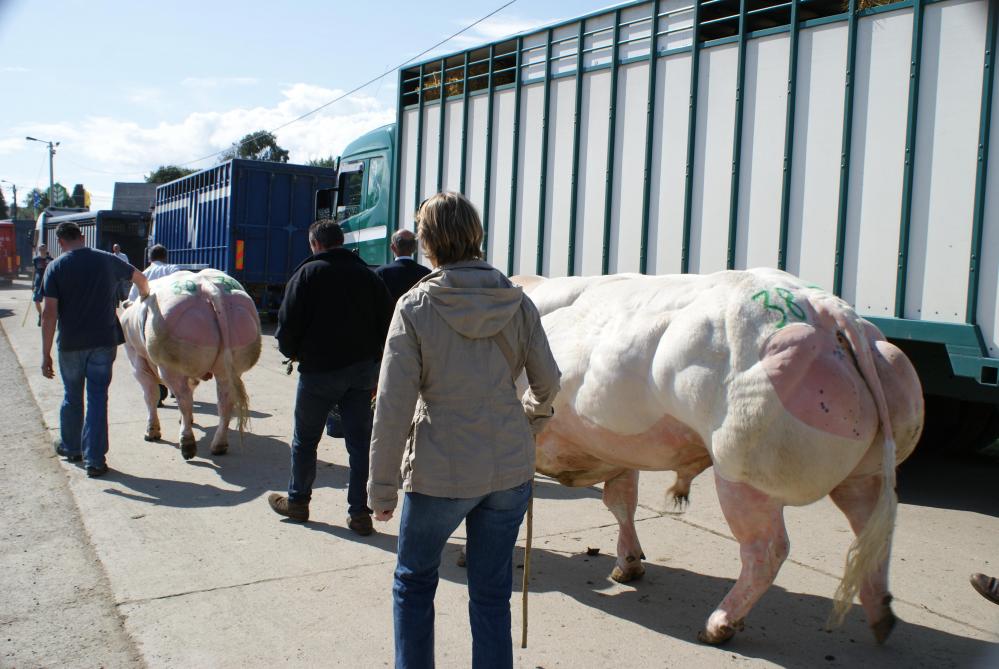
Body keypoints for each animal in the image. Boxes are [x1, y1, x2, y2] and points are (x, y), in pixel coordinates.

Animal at [119, 270, 262, 460]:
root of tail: (209, 288)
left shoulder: (137, 361)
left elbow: (151, 395)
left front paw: (152, 431)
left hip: (170, 366)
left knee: (184, 400)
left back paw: (187, 444)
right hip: (231, 366)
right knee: (225, 400)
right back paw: (219, 445)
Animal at [520, 268, 924, 648]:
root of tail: (829, 311)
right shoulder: (616, 447)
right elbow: (622, 504)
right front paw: (628, 564)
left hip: (742, 472)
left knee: (767, 550)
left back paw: (720, 623)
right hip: (864, 474)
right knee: (872, 532)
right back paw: (881, 614)